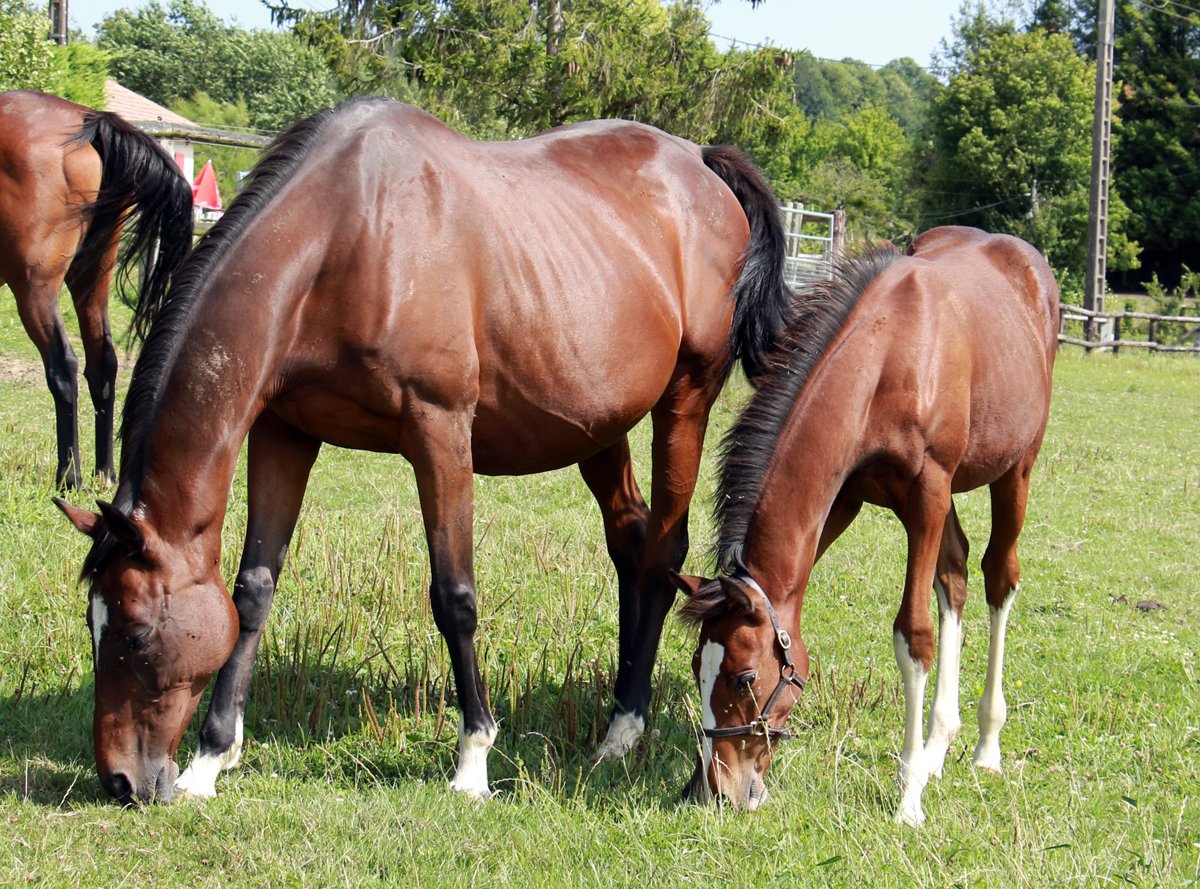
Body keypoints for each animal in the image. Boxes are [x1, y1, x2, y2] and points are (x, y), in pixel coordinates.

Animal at [0, 90, 193, 487]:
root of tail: (91, 122)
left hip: (35, 288)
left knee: (64, 365)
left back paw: (69, 474)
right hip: (92, 277)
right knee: (103, 363)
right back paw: (105, 471)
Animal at [53, 97, 793, 805]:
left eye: (136, 631)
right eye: (92, 625)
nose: (120, 781)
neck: (345, 236)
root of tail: (699, 159)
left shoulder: (439, 432)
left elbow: (454, 595)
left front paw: (474, 760)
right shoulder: (284, 432)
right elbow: (253, 588)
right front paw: (210, 759)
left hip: (685, 399)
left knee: (663, 552)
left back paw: (624, 726)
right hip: (597, 425)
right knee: (631, 541)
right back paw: (617, 716)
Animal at [673, 226, 1059, 825]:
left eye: (745, 677)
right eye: (696, 667)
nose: (721, 790)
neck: (892, 355)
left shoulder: (928, 493)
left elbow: (914, 634)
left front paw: (908, 797)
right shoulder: (845, 499)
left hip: (1015, 470)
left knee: (999, 576)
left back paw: (984, 746)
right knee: (955, 575)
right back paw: (938, 745)